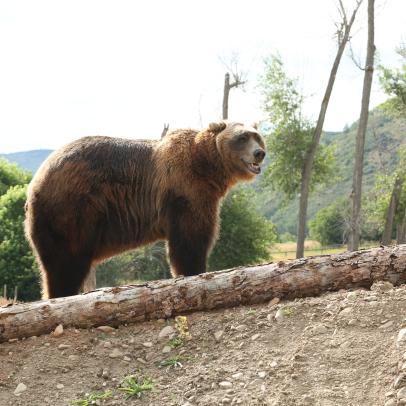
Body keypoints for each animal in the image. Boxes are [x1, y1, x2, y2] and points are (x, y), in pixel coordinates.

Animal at [25, 121, 266, 298]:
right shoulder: (185, 190)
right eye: (242, 137)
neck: (206, 166)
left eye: (257, 136)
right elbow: (190, 239)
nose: (259, 153)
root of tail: (35, 181)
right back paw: (61, 294)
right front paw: (194, 271)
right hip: (73, 209)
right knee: (66, 262)